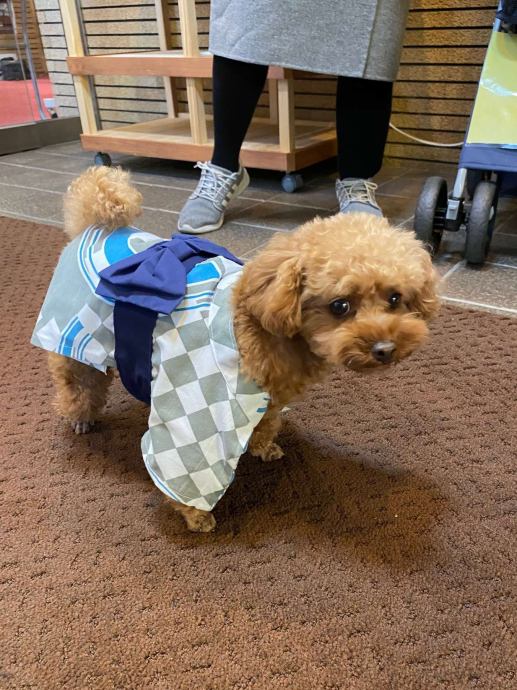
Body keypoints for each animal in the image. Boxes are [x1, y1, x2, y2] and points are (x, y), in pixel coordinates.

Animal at [33, 166, 439, 532]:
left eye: (395, 298)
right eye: (340, 306)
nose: (385, 348)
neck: (263, 328)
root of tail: (96, 226)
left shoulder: (270, 397)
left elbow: (265, 423)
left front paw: (262, 448)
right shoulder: (199, 409)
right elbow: (191, 465)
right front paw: (196, 517)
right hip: (70, 337)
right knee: (77, 382)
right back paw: (81, 417)